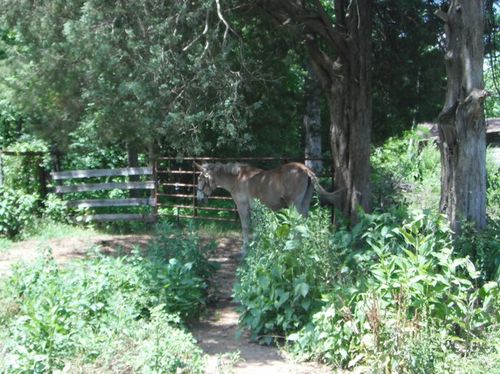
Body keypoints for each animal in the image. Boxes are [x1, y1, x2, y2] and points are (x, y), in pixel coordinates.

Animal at [193, 161, 342, 254]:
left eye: (200, 179)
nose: (199, 199)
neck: (237, 178)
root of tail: (305, 169)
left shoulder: (242, 207)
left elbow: (245, 227)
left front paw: (245, 249)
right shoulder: (255, 209)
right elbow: (257, 228)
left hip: (294, 205)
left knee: (297, 223)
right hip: (304, 204)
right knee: (304, 223)